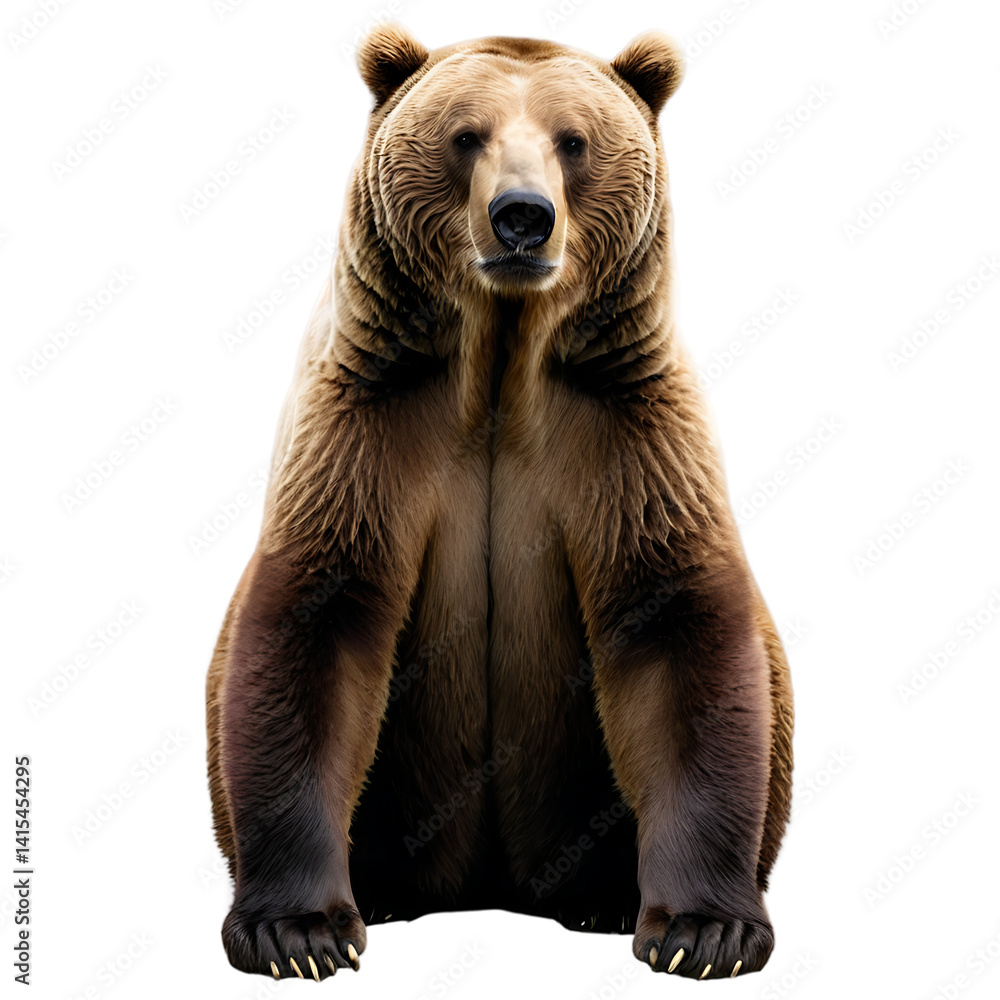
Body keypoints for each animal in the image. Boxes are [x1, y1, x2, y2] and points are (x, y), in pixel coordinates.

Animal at [206, 24, 794, 983]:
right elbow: (319, 622)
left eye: (574, 140)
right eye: (466, 135)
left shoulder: (626, 429)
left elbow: (674, 627)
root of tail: (494, 885)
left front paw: (703, 931)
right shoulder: (368, 423)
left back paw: (602, 897)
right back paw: (387, 891)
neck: (501, 360)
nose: (523, 217)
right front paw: (299, 933)